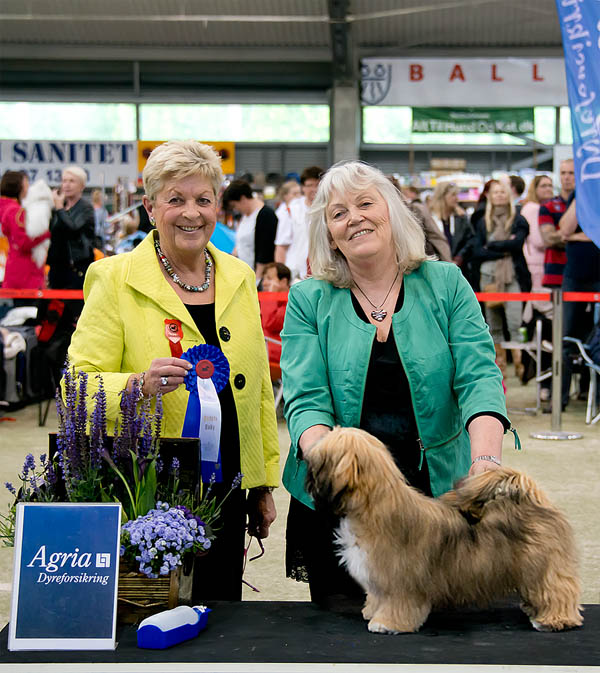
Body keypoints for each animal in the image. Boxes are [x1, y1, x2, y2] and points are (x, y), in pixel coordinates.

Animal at [304, 428, 580, 632]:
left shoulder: (400, 579)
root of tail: (535, 500)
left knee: (557, 590)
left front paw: (386, 623)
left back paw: (554, 619)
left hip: (544, 567)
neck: (374, 507)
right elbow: (376, 596)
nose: (305, 458)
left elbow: (398, 604)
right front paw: (371, 611)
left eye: (321, 458)